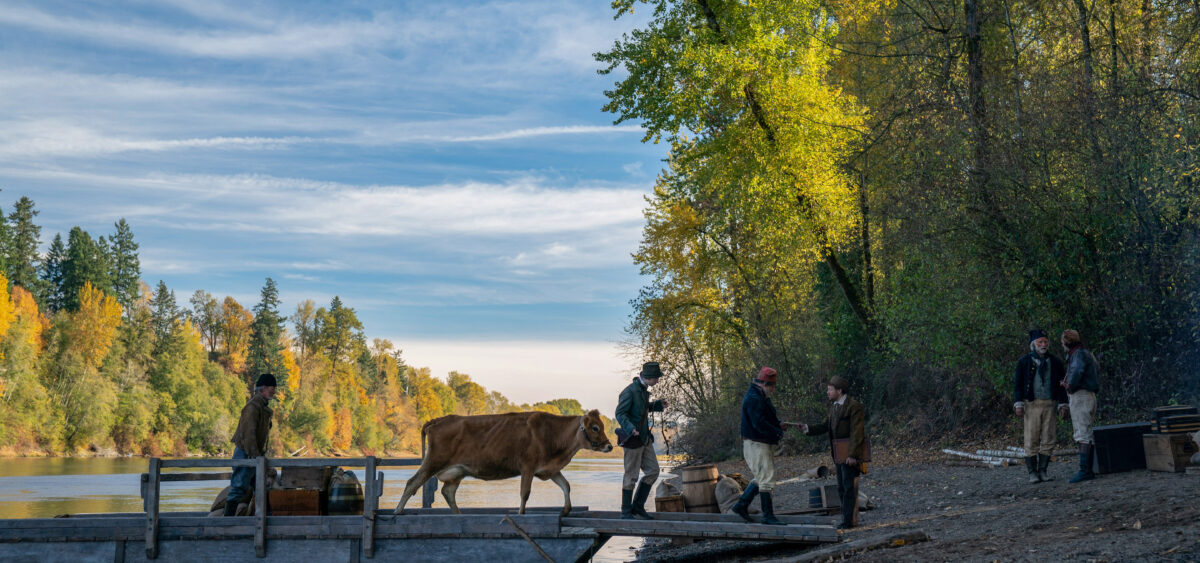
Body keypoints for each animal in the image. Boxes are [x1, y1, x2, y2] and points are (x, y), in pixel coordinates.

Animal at [398, 405, 614, 516]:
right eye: (595, 427)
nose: (609, 446)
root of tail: (439, 419)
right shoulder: (527, 466)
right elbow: (525, 493)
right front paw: (520, 514)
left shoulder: (549, 469)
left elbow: (566, 486)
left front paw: (566, 509)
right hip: (433, 461)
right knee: (412, 482)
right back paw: (398, 511)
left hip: (456, 471)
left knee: (448, 492)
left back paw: (459, 515)